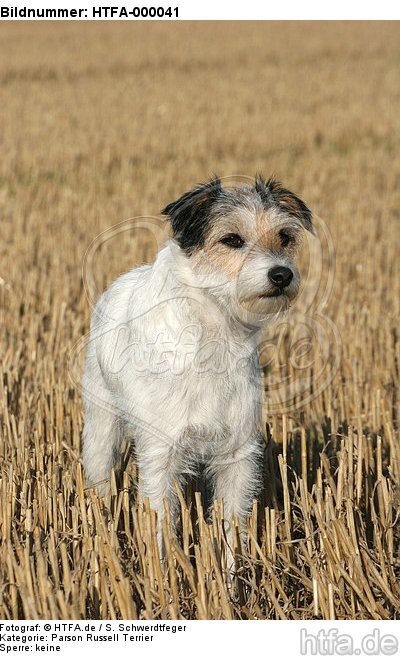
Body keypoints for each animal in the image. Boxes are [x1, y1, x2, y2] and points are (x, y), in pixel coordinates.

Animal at [81, 174, 312, 560]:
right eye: (232, 239)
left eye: (284, 236)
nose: (282, 274)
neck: (214, 328)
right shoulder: (161, 453)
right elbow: (160, 524)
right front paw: (165, 573)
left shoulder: (238, 454)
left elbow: (232, 525)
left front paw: (234, 575)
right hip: (102, 425)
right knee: (99, 472)